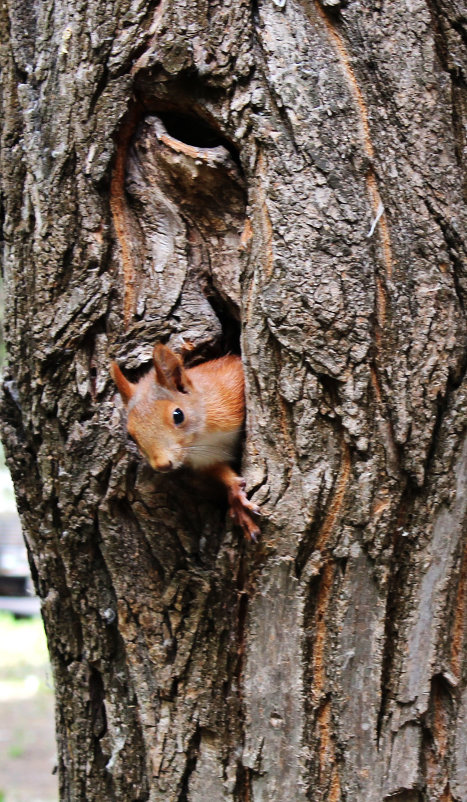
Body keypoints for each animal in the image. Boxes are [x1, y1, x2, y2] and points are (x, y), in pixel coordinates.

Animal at [111, 340, 262, 540]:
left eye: (178, 415)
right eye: (130, 435)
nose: (163, 464)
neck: (201, 438)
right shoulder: (207, 459)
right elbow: (221, 471)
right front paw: (235, 495)